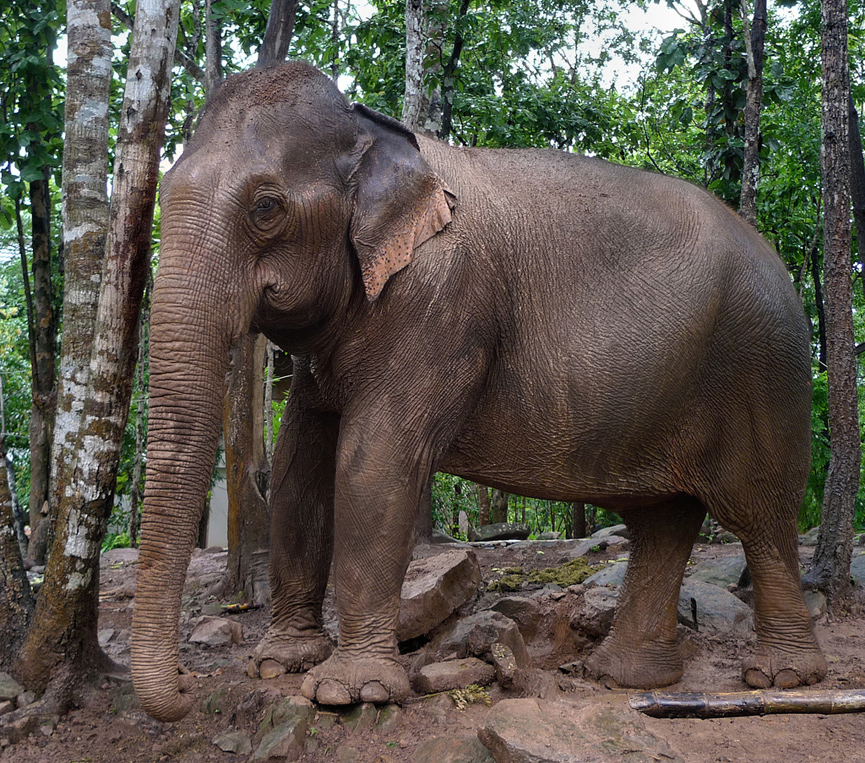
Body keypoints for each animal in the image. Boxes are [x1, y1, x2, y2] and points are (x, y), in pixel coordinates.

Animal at [131, 61, 826, 722]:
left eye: (266, 207)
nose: (187, 690)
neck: (373, 132)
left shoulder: (440, 303)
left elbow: (372, 461)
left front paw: (350, 692)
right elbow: (302, 461)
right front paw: (280, 663)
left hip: (764, 373)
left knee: (760, 518)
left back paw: (781, 679)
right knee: (663, 521)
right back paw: (627, 678)